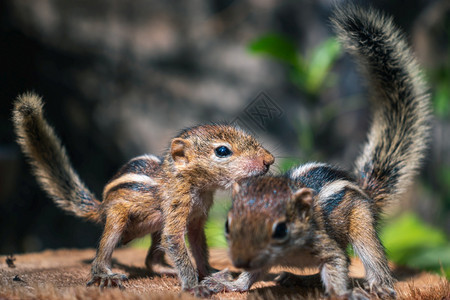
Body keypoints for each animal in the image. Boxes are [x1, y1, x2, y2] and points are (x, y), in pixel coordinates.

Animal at [11, 95, 274, 294]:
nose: (269, 160)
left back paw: (167, 269)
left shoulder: (197, 220)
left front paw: (210, 273)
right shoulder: (176, 209)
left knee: (151, 260)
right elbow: (175, 242)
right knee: (103, 253)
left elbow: (199, 247)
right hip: (117, 217)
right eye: (222, 151)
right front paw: (193, 286)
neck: (196, 185)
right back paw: (105, 274)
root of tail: (101, 206)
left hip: (155, 225)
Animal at [202, 4, 430, 300]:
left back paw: (378, 286)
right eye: (228, 225)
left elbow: (338, 265)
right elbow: (249, 277)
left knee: (370, 255)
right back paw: (299, 278)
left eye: (280, 229)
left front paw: (346, 293)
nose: (239, 259)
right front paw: (229, 283)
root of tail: (362, 187)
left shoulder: (325, 246)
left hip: (361, 222)